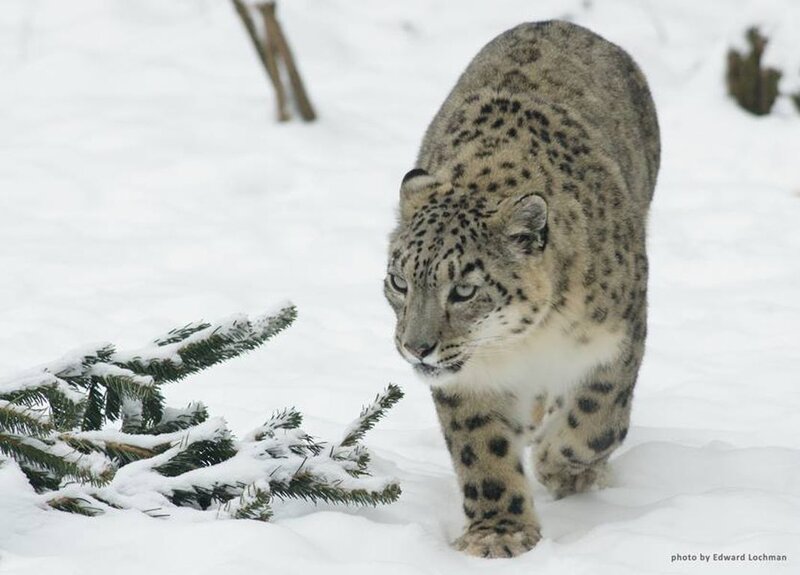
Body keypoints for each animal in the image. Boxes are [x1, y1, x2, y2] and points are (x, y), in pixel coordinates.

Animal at [384, 20, 659, 558]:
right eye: (399, 281)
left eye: (463, 290)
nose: (416, 347)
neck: (528, 340)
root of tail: (563, 23)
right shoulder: (470, 380)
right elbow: (482, 449)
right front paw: (498, 534)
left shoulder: (620, 335)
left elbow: (598, 417)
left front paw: (559, 466)